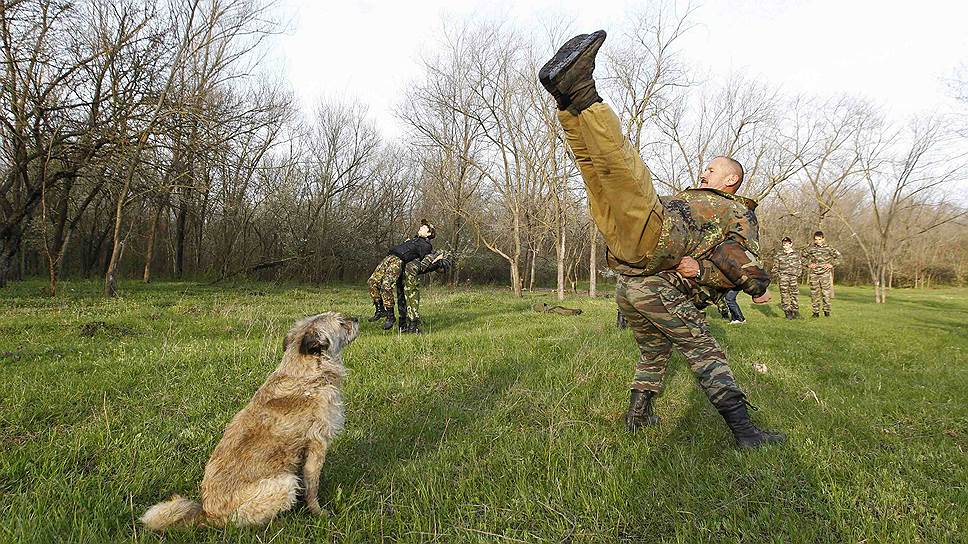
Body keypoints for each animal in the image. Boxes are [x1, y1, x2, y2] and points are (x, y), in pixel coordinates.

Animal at [140, 312, 360, 528]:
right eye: (341, 322)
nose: (357, 318)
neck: (307, 374)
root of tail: (207, 513)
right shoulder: (317, 445)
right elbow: (312, 486)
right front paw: (318, 512)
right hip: (284, 483)